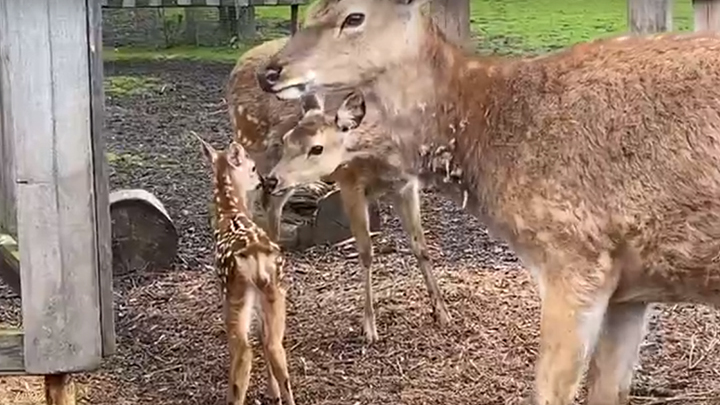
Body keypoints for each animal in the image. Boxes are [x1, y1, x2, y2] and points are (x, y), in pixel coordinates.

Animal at [194, 133, 296, 405]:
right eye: (252, 168)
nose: (262, 181)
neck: (229, 211)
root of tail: (257, 257)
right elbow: (263, 337)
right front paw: (273, 392)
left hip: (236, 293)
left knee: (243, 352)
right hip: (274, 289)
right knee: (274, 346)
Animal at [264, 90, 450, 340]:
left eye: (317, 148)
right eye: (286, 140)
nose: (272, 179)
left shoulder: (406, 185)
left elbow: (421, 246)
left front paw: (442, 313)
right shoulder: (350, 184)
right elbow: (365, 251)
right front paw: (369, 327)